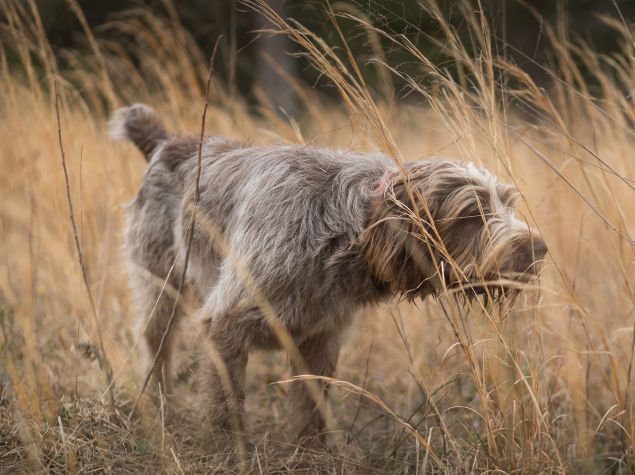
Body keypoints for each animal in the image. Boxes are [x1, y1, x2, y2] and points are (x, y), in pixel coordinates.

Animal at [109, 103, 548, 446]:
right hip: (158, 290)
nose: (539, 249)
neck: (342, 231)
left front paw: (312, 454)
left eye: (508, 204)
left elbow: (312, 410)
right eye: (471, 213)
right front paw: (228, 453)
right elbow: (224, 408)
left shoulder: (319, 338)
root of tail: (168, 142)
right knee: (157, 351)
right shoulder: (225, 324)